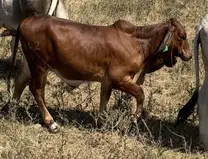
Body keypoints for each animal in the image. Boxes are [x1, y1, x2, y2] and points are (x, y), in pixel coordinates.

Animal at [7, 15, 192, 132]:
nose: (189, 55)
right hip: (40, 66)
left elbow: (104, 100)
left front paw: (101, 122)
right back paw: (51, 123)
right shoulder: (119, 79)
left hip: (30, 64)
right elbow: (140, 93)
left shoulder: (107, 81)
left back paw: (11, 109)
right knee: (36, 90)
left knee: (20, 82)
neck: (138, 43)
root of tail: (26, 21)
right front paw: (133, 119)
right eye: (182, 36)